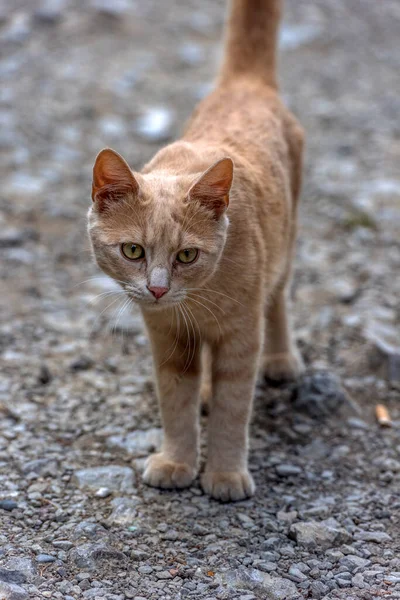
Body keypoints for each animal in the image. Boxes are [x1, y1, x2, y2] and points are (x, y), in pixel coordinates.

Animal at [89, 0, 304, 502]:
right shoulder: (167, 341)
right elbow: (177, 405)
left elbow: (233, 411)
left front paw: (224, 474)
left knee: (278, 300)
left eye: (186, 256)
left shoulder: (242, 338)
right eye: (133, 250)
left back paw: (280, 360)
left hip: (284, 251)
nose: (158, 290)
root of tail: (243, 85)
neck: (196, 306)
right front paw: (177, 462)